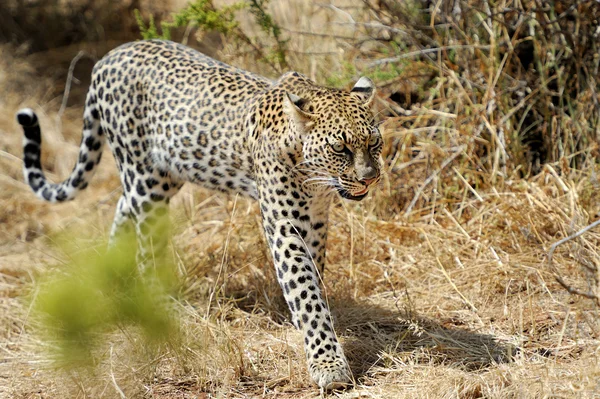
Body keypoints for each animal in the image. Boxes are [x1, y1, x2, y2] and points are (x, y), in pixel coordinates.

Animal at [15, 39, 384, 390]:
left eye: (374, 143)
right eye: (340, 148)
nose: (370, 177)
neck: (314, 177)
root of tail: (108, 57)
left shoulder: (316, 220)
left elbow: (314, 277)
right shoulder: (285, 224)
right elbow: (305, 291)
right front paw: (328, 364)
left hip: (164, 175)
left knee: (123, 209)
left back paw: (113, 278)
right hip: (144, 178)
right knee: (146, 247)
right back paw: (163, 307)